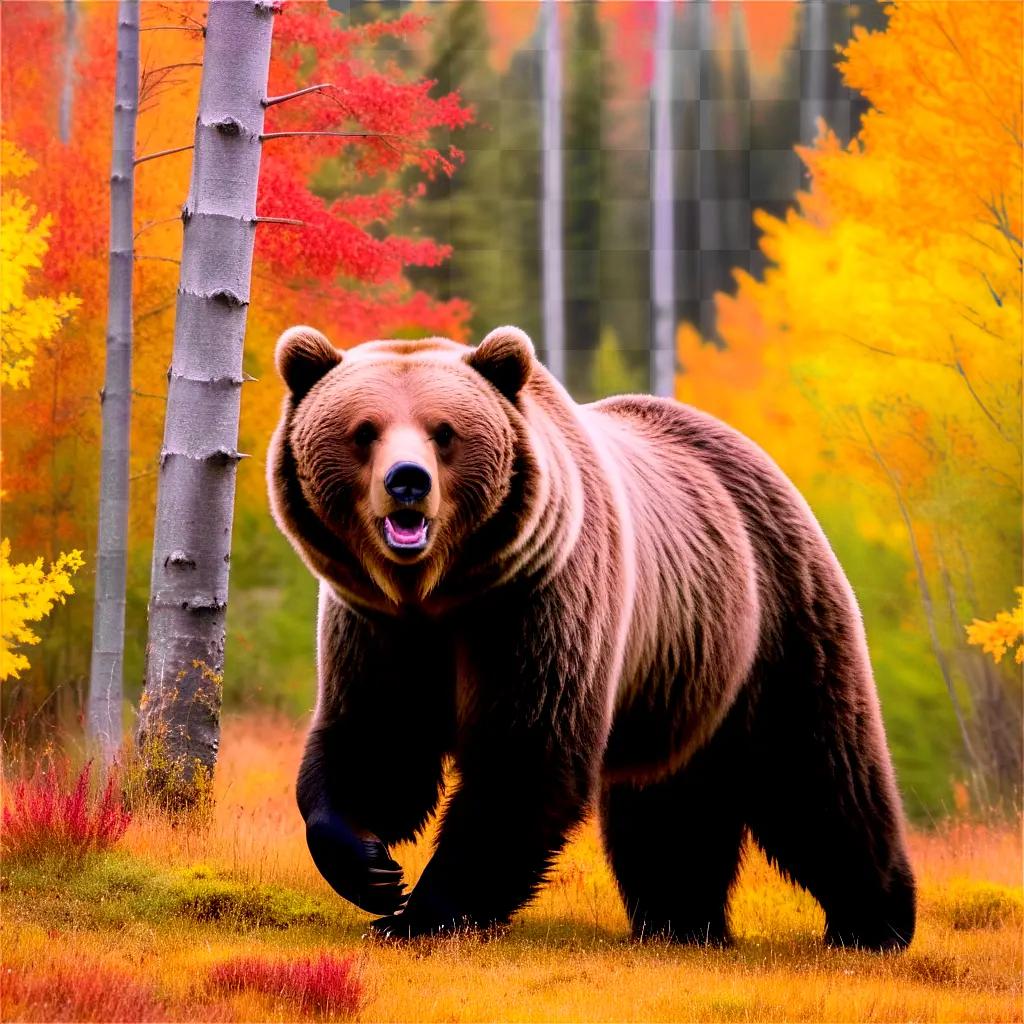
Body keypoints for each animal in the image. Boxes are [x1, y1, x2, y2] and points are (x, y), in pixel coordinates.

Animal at [268, 323, 917, 946]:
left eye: (444, 431)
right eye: (364, 431)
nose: (408, 481)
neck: (440, 592)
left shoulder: (538, 605)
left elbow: (523, 758)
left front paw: (421, 914)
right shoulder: (378, 626)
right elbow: (375, 741)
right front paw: (370, 868)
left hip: (778, 620)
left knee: (819, 776)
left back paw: (874, 921)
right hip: (682, 670)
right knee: (671, 807)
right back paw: (682, 921)